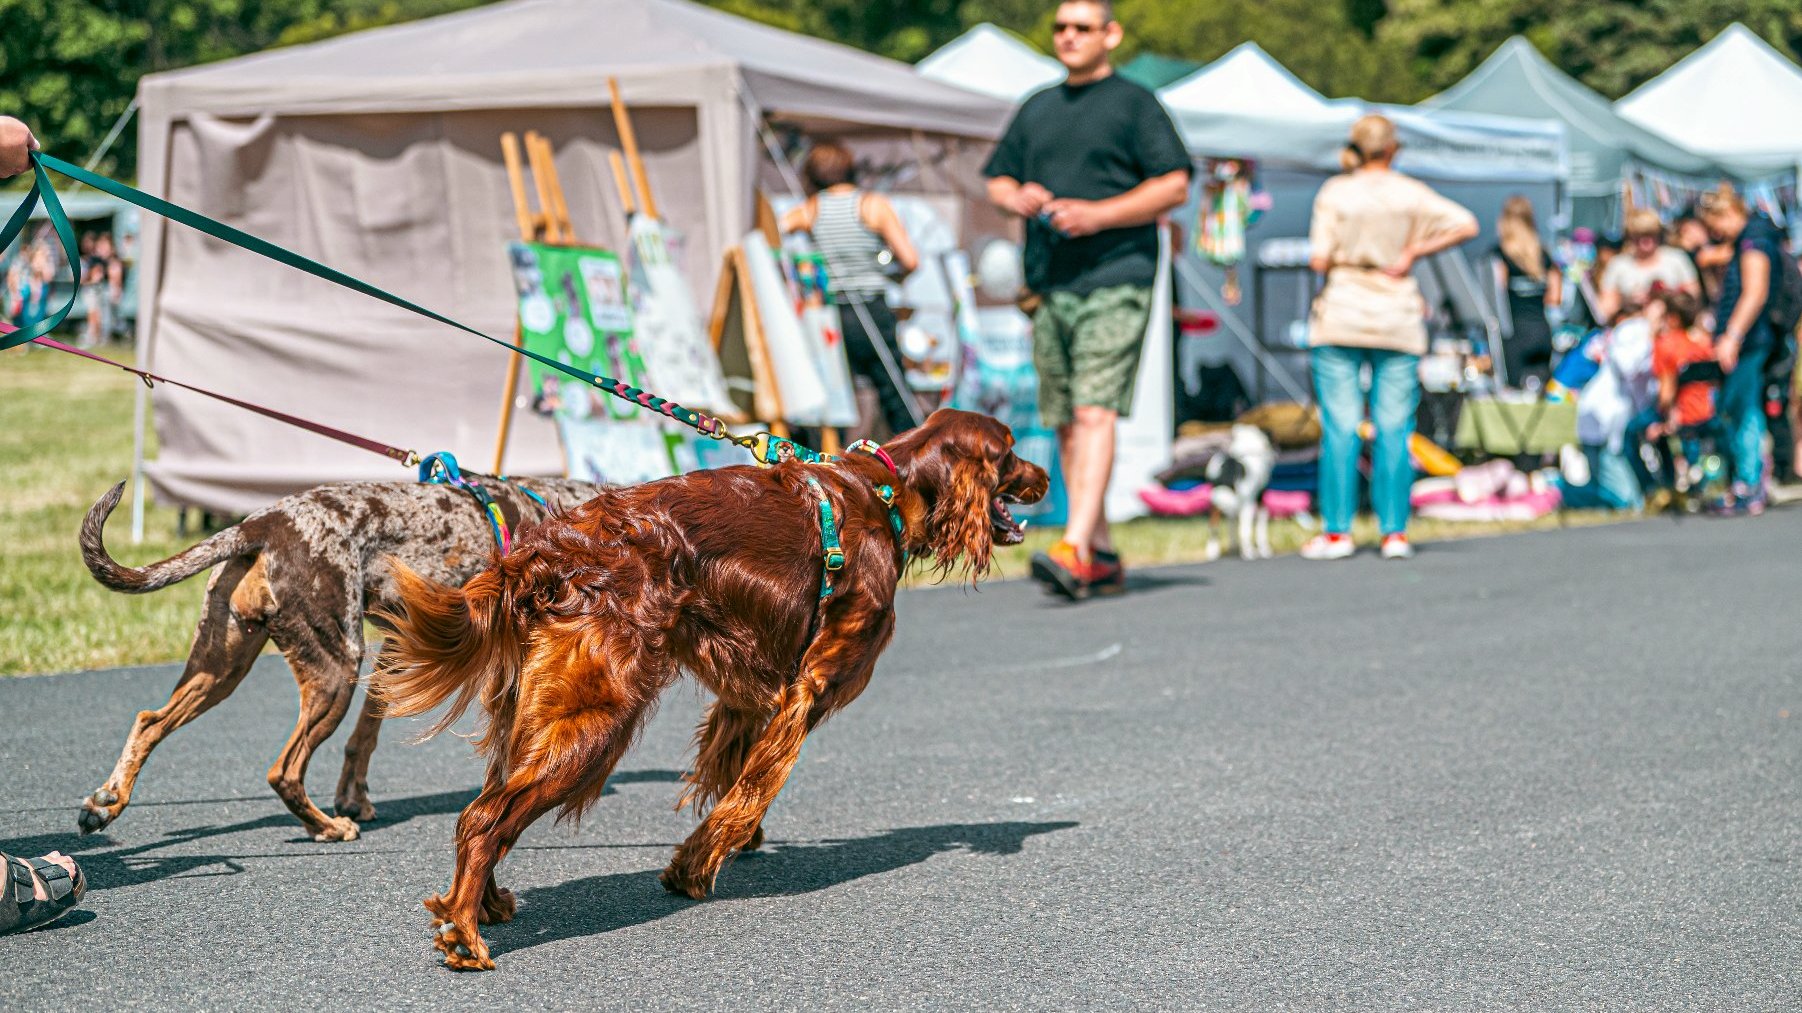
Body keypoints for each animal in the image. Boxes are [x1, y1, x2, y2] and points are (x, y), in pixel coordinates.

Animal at [75, 472, 605, 836]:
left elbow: (363, 739)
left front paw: (356, 799)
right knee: (284, 771)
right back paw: (326, 828)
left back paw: (108, 803)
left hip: (221, 668)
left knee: (149, 721)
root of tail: (260, 523)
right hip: (335, 672)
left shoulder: (394, 650)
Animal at [369, 405, 1045, 966]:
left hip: (531, 712)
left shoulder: (747, 696)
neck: (886, 492)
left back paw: (483, 905)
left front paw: (724, 848)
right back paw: (464, 934)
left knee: (485, 808)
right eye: (1011, 451)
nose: (1041, 476)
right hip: (597, 716)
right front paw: (695, 868)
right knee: (486, 819)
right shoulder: (810, 686)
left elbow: (738, 778)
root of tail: (547, 551)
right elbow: (752, 791)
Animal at [1210, 419, 1283, 558]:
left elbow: (1231, 528)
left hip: (1217, 502)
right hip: (1247, 505)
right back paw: (1249, 553)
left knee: (1214, 526)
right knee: (1244, 530)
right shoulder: (1260, 501)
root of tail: (1231, 464)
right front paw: (1264, 550)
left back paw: (1213, 551)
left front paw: (1233, 548)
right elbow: (1260, 528)